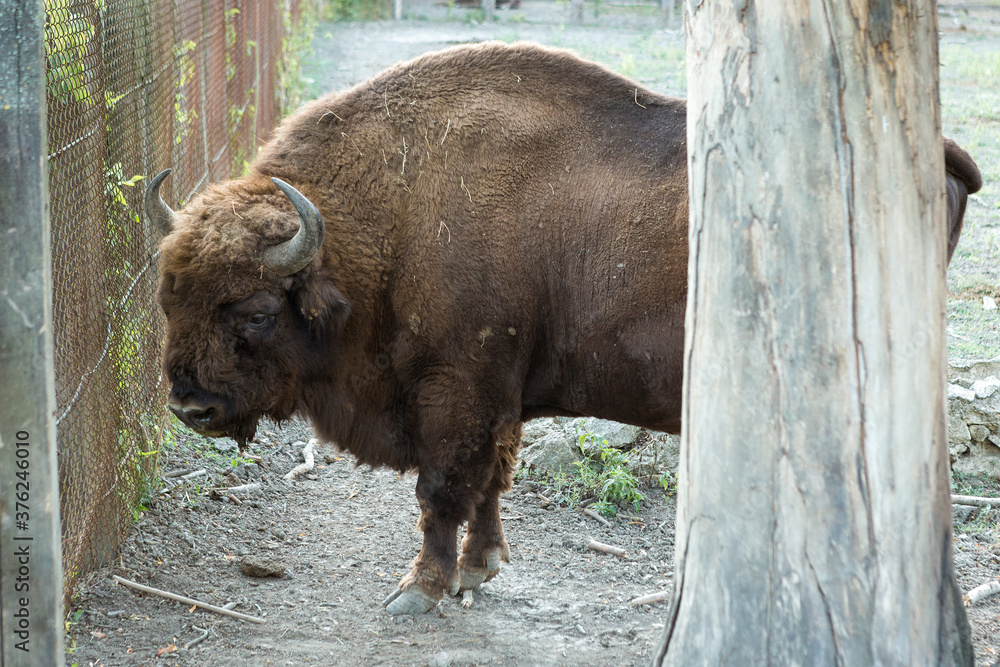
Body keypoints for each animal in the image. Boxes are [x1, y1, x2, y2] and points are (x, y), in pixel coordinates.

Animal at [145, 41, 983, 614]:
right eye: (168, 298)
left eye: (256, 312)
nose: (189, 405)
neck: (385, 224)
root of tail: (942, 152)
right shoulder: (499, 400)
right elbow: (490, 482)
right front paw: (480, 567)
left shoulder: (457, 391)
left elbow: (441, 489)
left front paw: (418, 589)